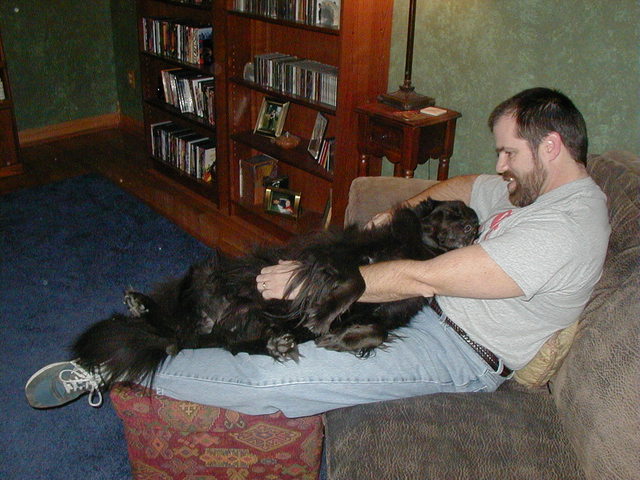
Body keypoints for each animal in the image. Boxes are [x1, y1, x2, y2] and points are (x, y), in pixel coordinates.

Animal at [72, 198, 479, 387]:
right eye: (453, 212)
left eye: (473, 221)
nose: (473, 228)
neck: (417, 250)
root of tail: (209, 323)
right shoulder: (335, 254)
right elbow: (358, 282)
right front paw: (324, 315)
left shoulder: (387, 315)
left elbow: (376, 331)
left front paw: (338, 338)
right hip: (210, 274)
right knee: (172, 328)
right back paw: (140, 304)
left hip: (234, 328)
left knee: (204, 342)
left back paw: (276, 345)